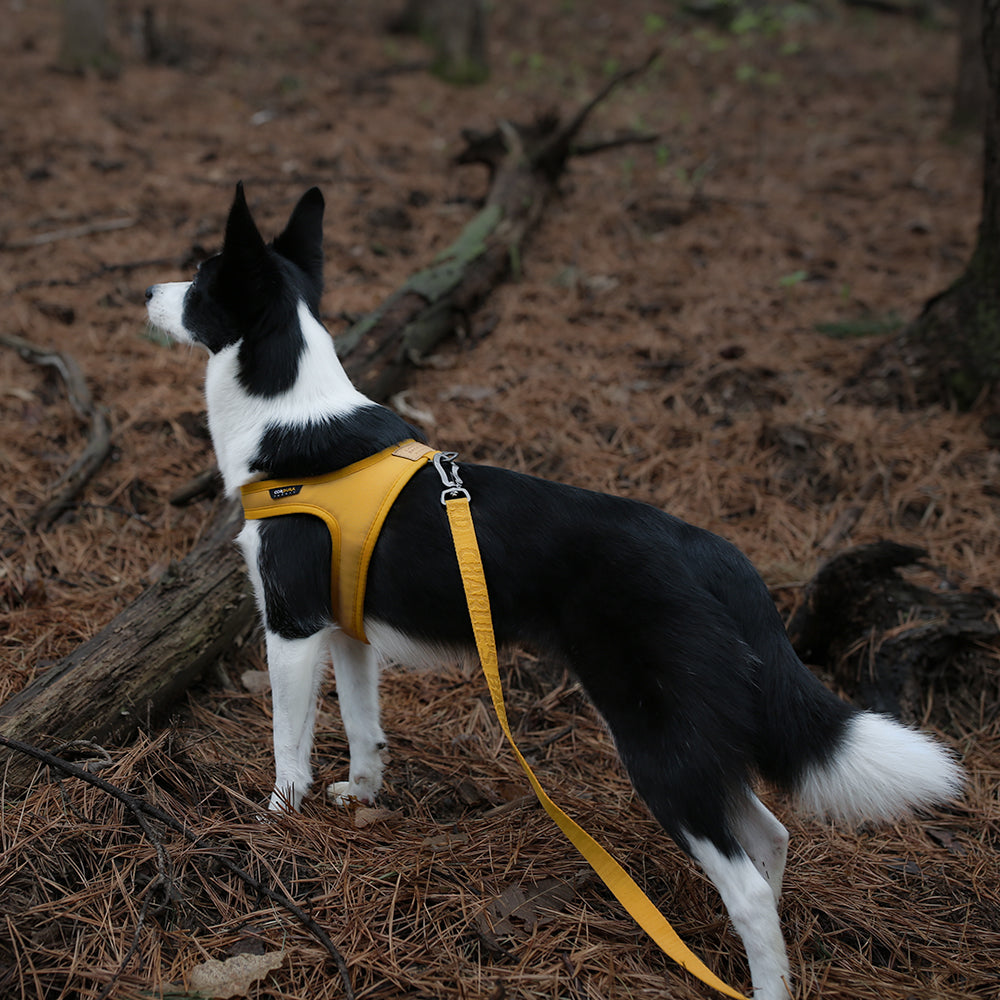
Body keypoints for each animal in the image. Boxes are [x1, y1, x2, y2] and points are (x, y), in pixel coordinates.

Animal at [145, 184, 964, 996]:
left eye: (203, 279)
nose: (146, 291)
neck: (290, 412)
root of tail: (712, 554)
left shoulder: (290, 628)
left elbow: (288, 744)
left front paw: (276, 821)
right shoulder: (346, 630)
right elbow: (362, 724)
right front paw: (364, 794)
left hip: (656, 742)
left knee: (752, 892)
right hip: (696, 732)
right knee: (772, 838)